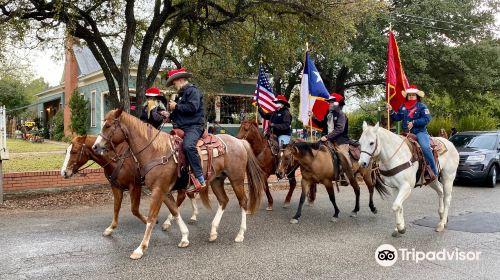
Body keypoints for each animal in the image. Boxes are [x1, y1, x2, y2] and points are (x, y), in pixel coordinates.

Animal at [59, 135, 198, 235]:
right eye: (66, 151)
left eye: (74, 151)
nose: (63, 172)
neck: (116, 159)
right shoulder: (116, 187)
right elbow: (116, 207)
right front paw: (111, 228)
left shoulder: (135, 186)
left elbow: (134, 210)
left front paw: (150, 220)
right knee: (187, 196)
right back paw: (191, 216)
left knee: (182, 197)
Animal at [92, 108, 268, 260]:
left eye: (108, 126)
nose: (95, 146)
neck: (155, 151)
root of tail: (240, 142)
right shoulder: (164, 192)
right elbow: (175, 211)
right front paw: (184, 237)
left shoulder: (158, 191)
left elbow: (151, 218)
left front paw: (140, 249)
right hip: (217, 181)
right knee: (224, 201)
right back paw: (213, 232)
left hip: (236, 179)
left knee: (243, 202)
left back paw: (240, 234)